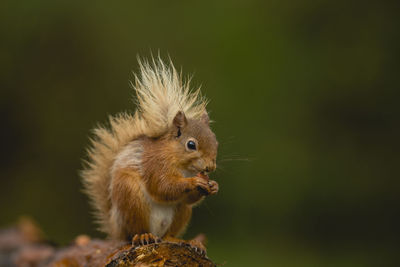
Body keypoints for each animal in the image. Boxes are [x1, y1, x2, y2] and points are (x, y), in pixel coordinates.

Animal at [80, 57, 219, 252]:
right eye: (191, 145)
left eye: (216, 141)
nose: (210, 167)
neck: (182, 166)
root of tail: (116, 229)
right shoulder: (155, 164)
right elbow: (162, 187)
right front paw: (193, 182)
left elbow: (188, 198)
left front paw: (213, 186)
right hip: (131, 198)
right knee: (135, 231)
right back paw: (144, 236)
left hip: (181, 211)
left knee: (170, 231)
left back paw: (185, 241)